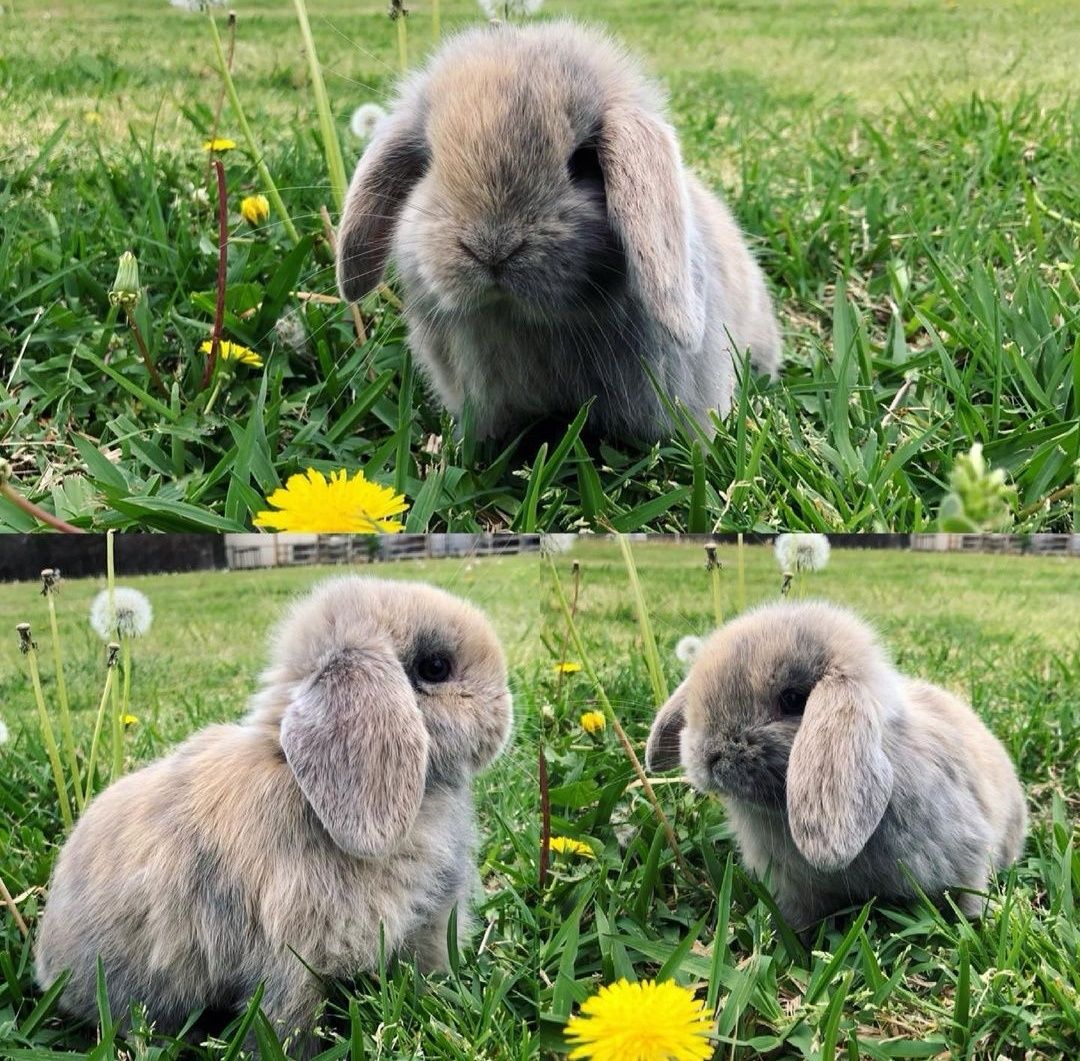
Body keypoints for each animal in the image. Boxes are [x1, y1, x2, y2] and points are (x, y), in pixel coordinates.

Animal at [33, 579, 514, 1058]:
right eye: (436, 667)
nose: (506, 711)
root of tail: (47, 962)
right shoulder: (293, 961)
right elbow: (288, 1023)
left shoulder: (429, 926)